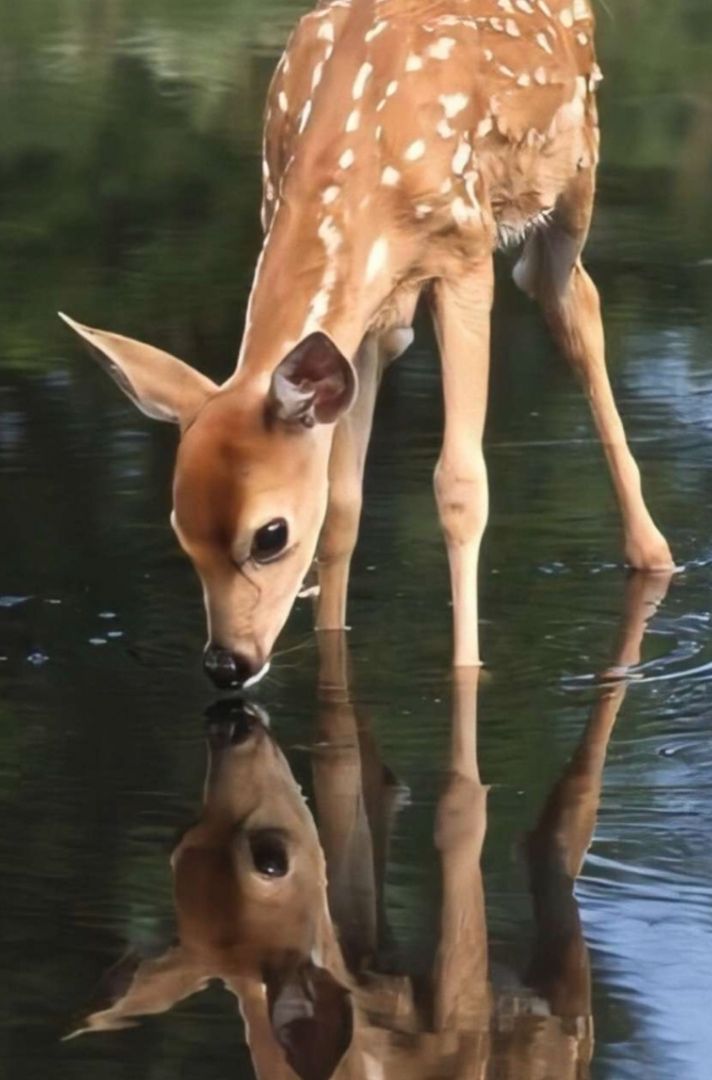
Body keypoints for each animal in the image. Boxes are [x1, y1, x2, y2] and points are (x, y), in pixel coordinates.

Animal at [59, 0, 674, 686]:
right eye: (178, 527)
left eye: (269, 535)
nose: (226, 663)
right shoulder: (364, 320)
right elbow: (344, 505)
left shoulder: (464, 256)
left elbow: (460, 485)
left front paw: (467, 669)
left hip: (575, 171)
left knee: (567, 296)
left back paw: (655, 553)